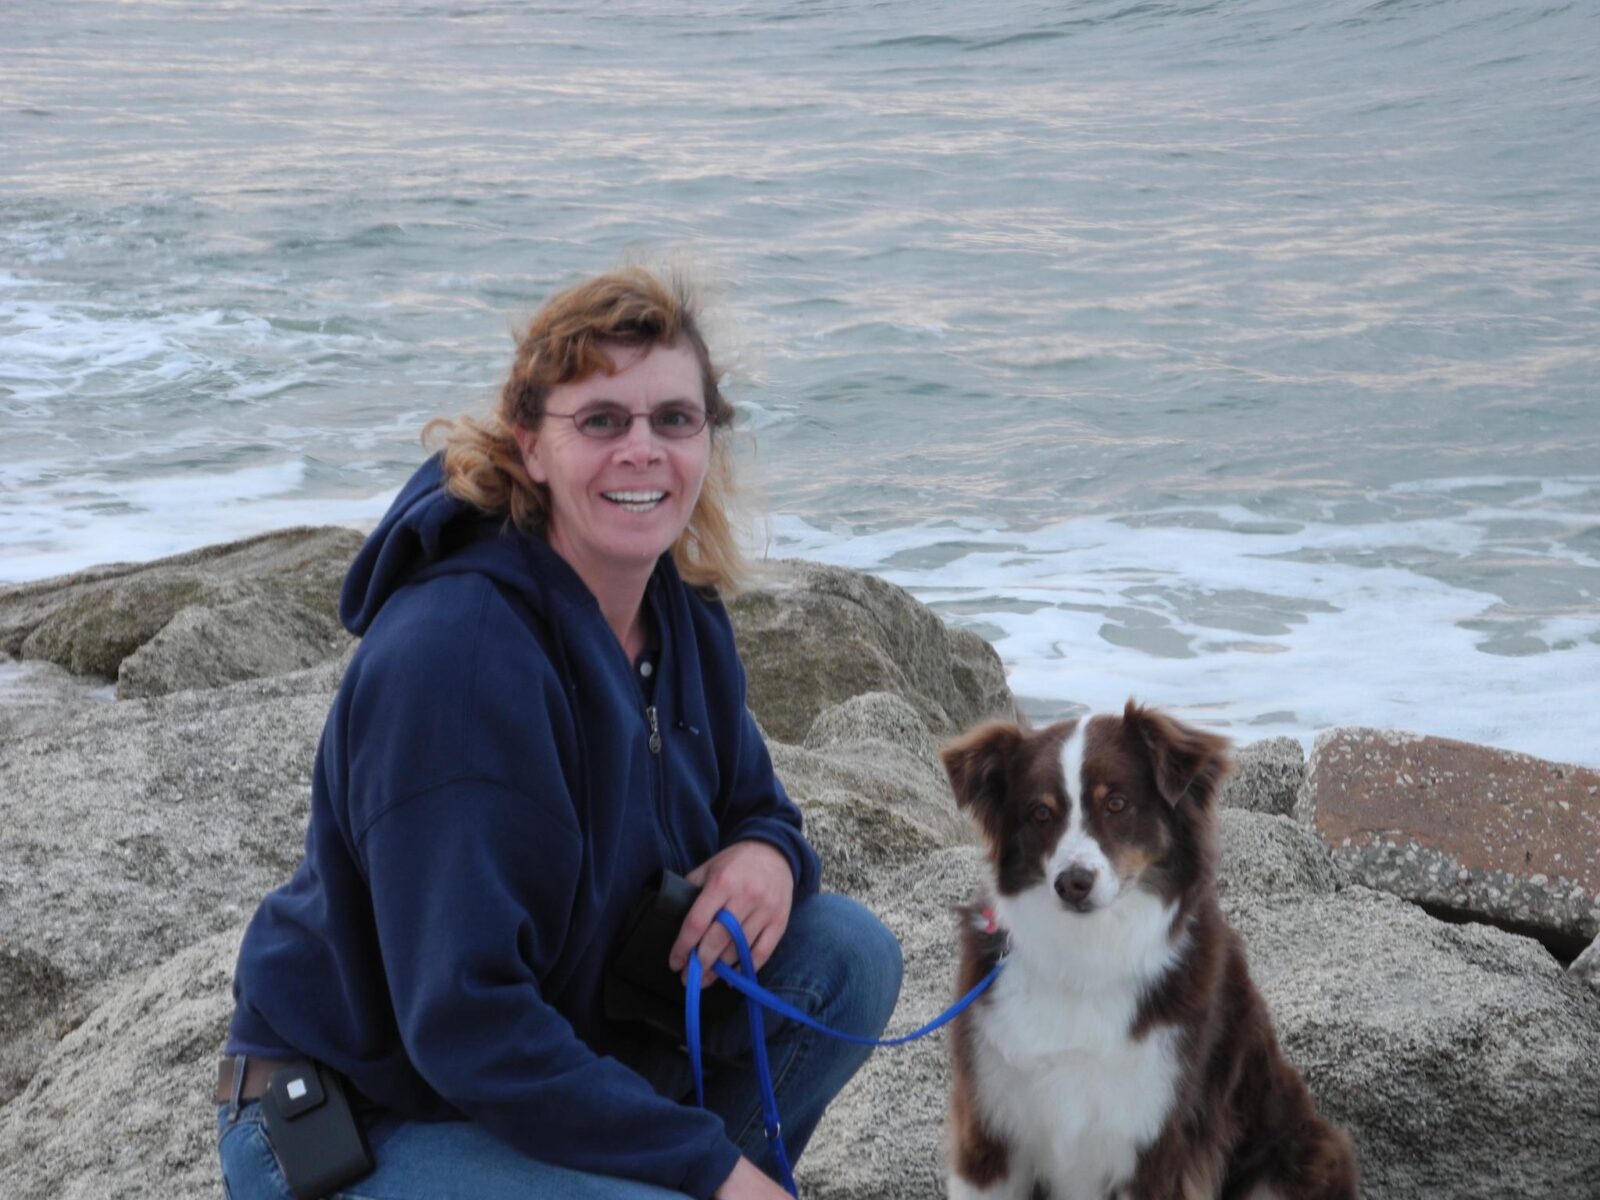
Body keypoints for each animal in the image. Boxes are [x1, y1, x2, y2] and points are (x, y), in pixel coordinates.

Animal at [940, 704, 1356, 1200]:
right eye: (1041, 812)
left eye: (1117, 804)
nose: (1072, 883)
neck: (1085, 960)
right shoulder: (988, 1135)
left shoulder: (1152, 1145)